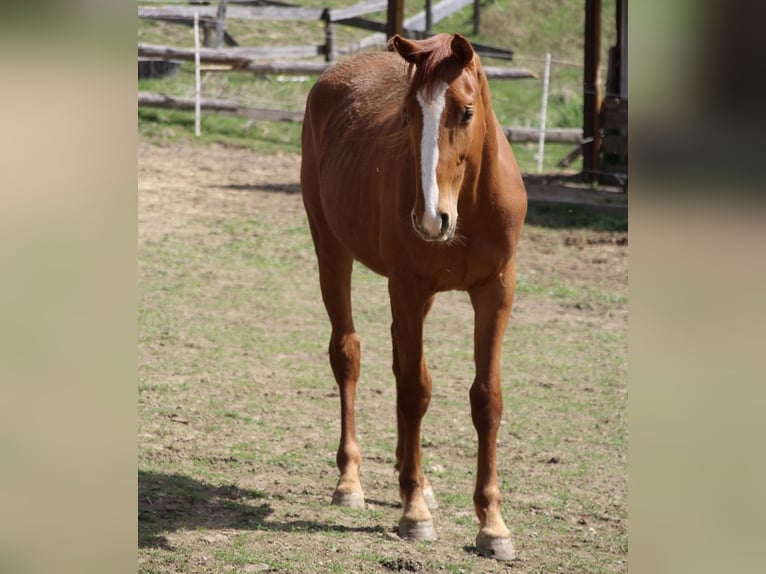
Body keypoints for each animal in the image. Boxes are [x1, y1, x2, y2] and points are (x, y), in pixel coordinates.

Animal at [300, 33, 527, 560]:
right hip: (331, 250)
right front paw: (414, 514)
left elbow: (485, 398)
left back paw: (416, 480)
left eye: (466, 112)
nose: (430, 218)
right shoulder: (407, 284)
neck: (470, 206)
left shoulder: (496, 291)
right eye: (407, 113)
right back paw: (352, 481)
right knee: (348, 353)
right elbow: (415, 391)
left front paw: (492, 525)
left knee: (399, 360)